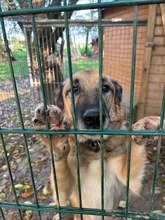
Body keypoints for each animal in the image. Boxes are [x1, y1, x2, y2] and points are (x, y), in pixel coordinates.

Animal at [32, 69, 164, 219]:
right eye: (74, 89)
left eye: (105, 88)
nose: (94, 118)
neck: (94, 146)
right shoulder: (63, 196)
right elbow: (60, 171)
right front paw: (55, 140)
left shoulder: (130, 180)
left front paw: (142, 126)